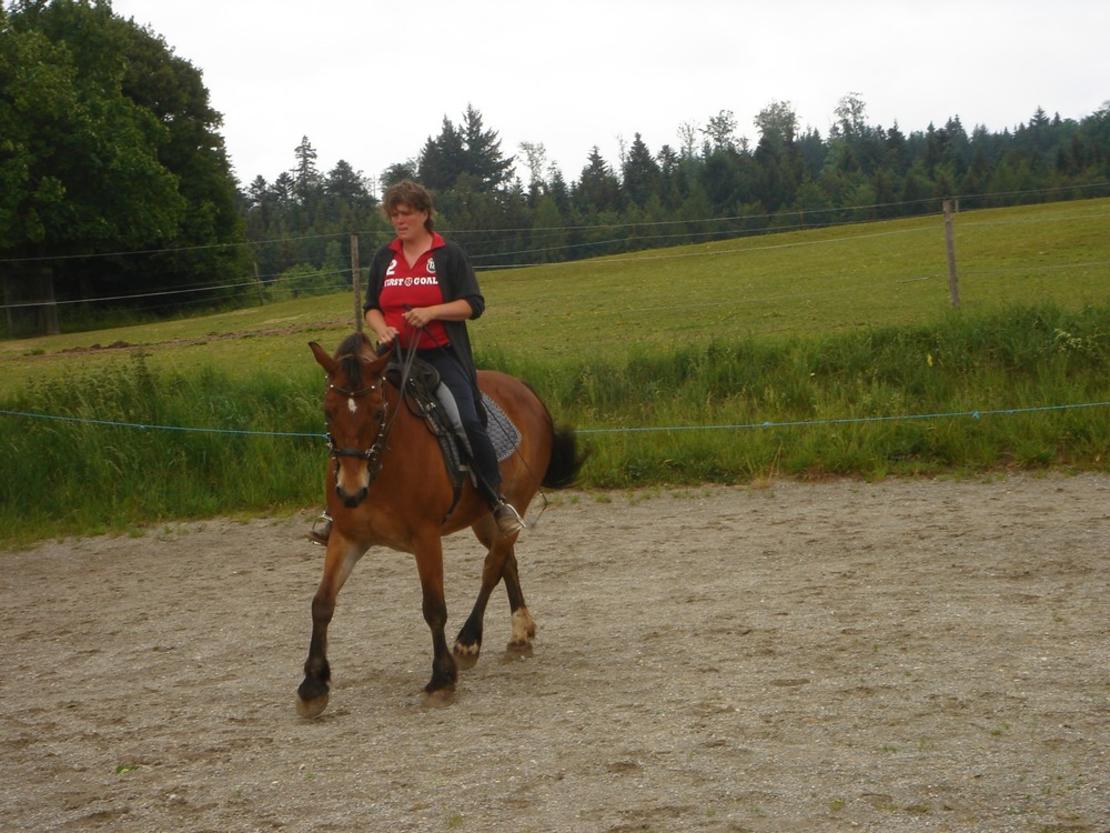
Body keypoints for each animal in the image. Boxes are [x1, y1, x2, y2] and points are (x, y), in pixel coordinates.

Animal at [297, 332, 581, 717]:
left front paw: (441, 680)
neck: (382, 466)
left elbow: (433, 608)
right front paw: (313, 686)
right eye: (328, 411)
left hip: (514, 502)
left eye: (377, 411)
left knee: (492, 566)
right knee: (507, 561)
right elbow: (322, 603)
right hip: (484, 518)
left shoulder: (426, 537)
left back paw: (468, 642)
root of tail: (522, 388)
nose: (351, 491)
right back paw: (520, 632)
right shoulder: (347, 537)